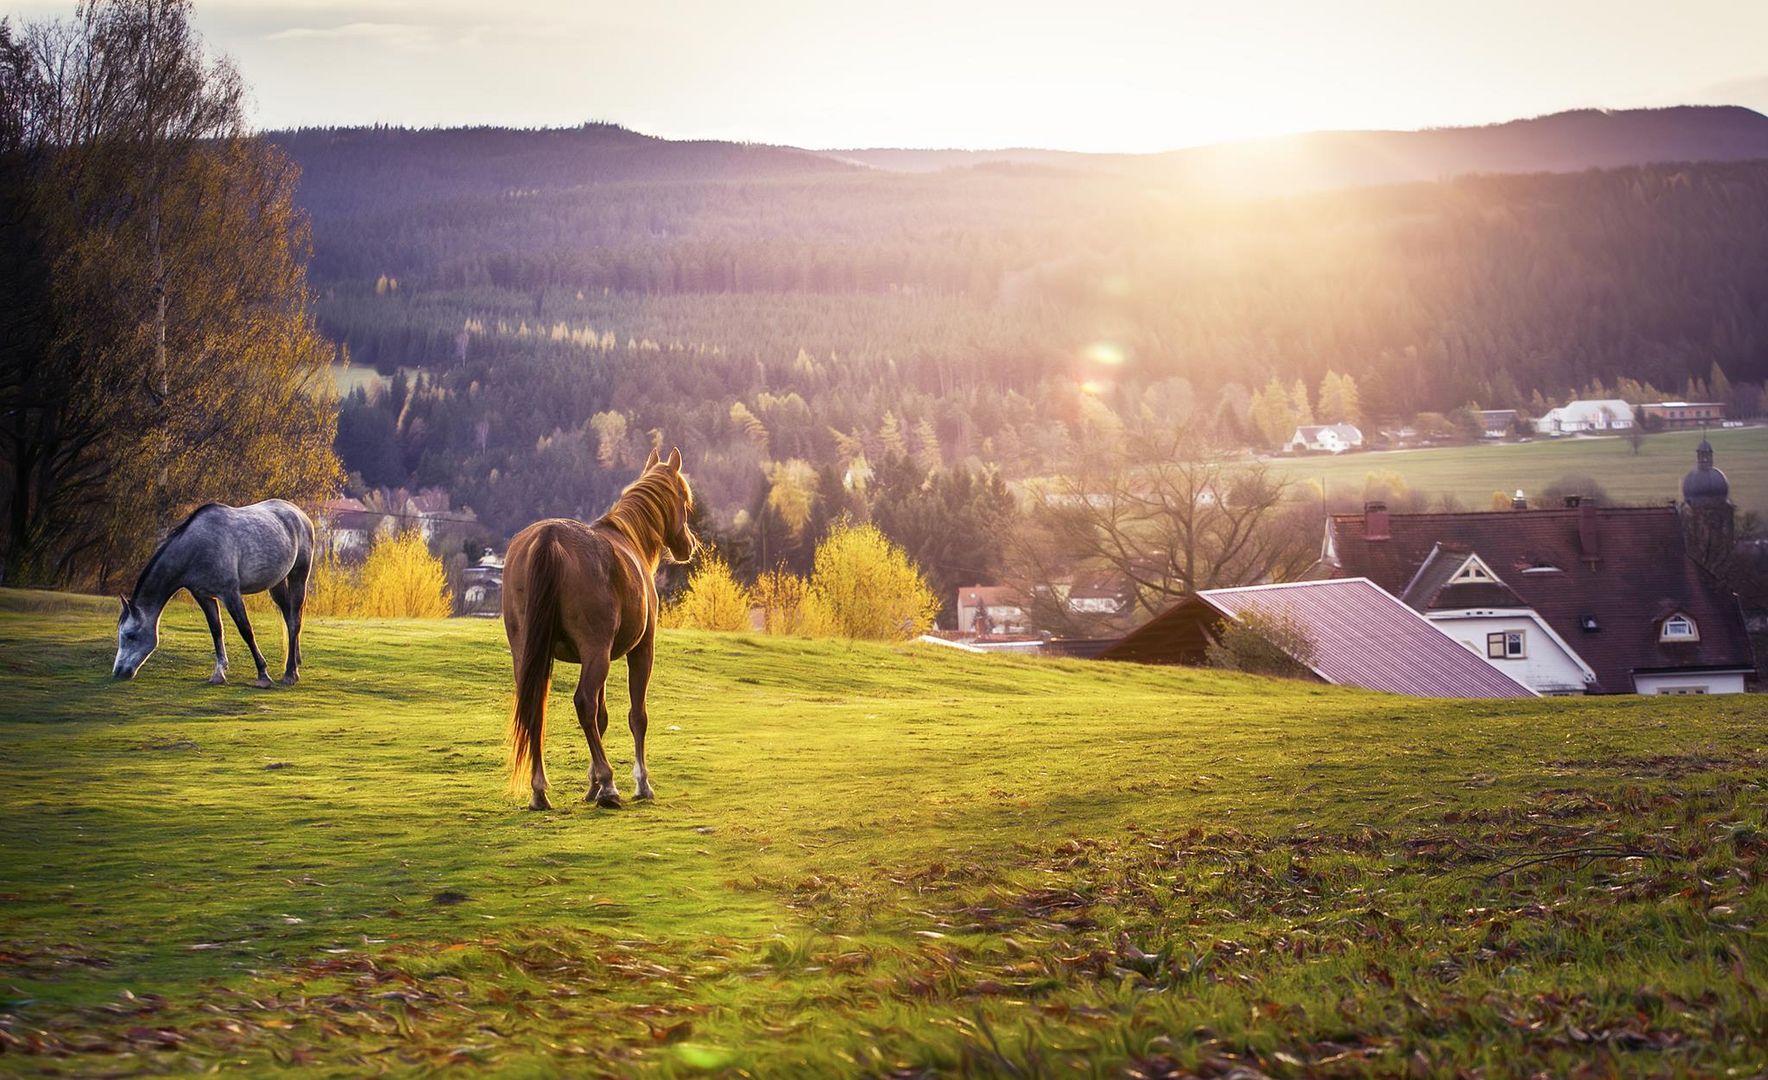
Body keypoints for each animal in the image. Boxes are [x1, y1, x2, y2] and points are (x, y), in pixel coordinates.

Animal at [114, 501, 316, 689]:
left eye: (130, 635)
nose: (118, 672)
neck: (197, 548)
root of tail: (298, 513)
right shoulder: (203, 596)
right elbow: (216, 630)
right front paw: (219, 673)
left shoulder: (231, 594)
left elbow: (246, 631)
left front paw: (263, 674)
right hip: (277, 583)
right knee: (289, 616)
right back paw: (295, 662)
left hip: (298, 576)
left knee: (295, 620)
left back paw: (290, 673)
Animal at [505, 447, 696, 813]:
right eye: (685, 500)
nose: (688, 544)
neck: (629, 539)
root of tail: (548, 537)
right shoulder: (640, 651)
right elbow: (636, 716)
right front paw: (637, 783)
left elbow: (603, 718)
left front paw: (591, 785)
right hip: (597, 653)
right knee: (583, 703)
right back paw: (609, 787)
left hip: (529, 653)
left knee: (536, 707)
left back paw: (540, 790)